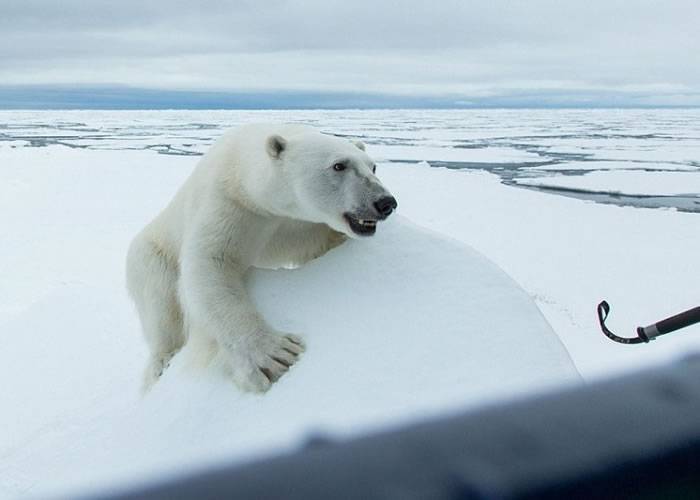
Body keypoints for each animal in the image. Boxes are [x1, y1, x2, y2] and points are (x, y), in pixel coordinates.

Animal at [125, 123, 396, 392]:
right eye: (339, 165)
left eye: (373, 166)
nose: (386, 202)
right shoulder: (229, 202)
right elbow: (209, 263)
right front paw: (273, 355)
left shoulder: (305, 226)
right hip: (150, 254)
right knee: (162, 305)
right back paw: (161, 362)